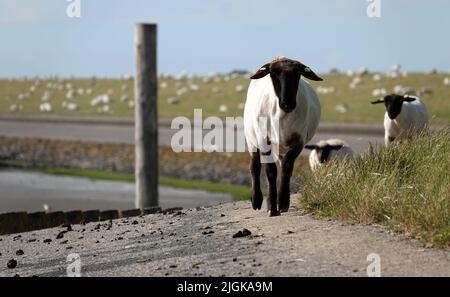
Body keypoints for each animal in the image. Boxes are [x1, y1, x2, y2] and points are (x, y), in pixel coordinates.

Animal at [244, 56, 322, 216]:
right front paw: (272, 208)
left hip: (280, 146)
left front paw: (283, 202)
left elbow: (287, 166)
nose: (288, 103)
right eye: (273, 72)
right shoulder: (264, 140)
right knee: (254, 166)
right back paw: (256, 201)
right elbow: (270, 171)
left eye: (298, 72)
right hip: (251, 139)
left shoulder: (298, 141)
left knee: (282, 163)